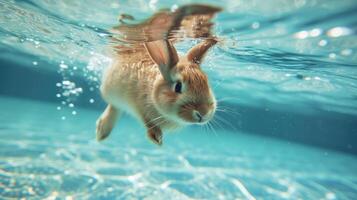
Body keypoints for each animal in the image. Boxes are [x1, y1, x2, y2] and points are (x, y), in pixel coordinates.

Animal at [96, 4, 221, 145]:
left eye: (206, 82)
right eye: (178, 87)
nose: (203, 113)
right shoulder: (138, 104)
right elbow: (146, 120)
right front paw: (156, 137)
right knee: (114, 106)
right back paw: (102, 132)